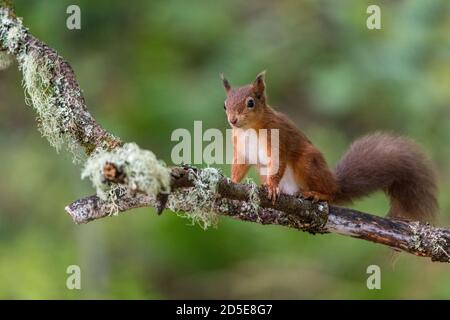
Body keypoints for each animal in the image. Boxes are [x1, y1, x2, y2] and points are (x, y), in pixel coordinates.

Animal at [223, 71, 438, 221]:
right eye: (225, 105)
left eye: (250, 103)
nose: (232, 120)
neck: (248, 129)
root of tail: (335, 182)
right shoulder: (240, 148)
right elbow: (239, 166)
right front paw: (232, 183)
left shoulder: (278, 138)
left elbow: (278, 160)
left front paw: (272, 187)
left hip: (308, 163)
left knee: (330, 193)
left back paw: (316, 194)